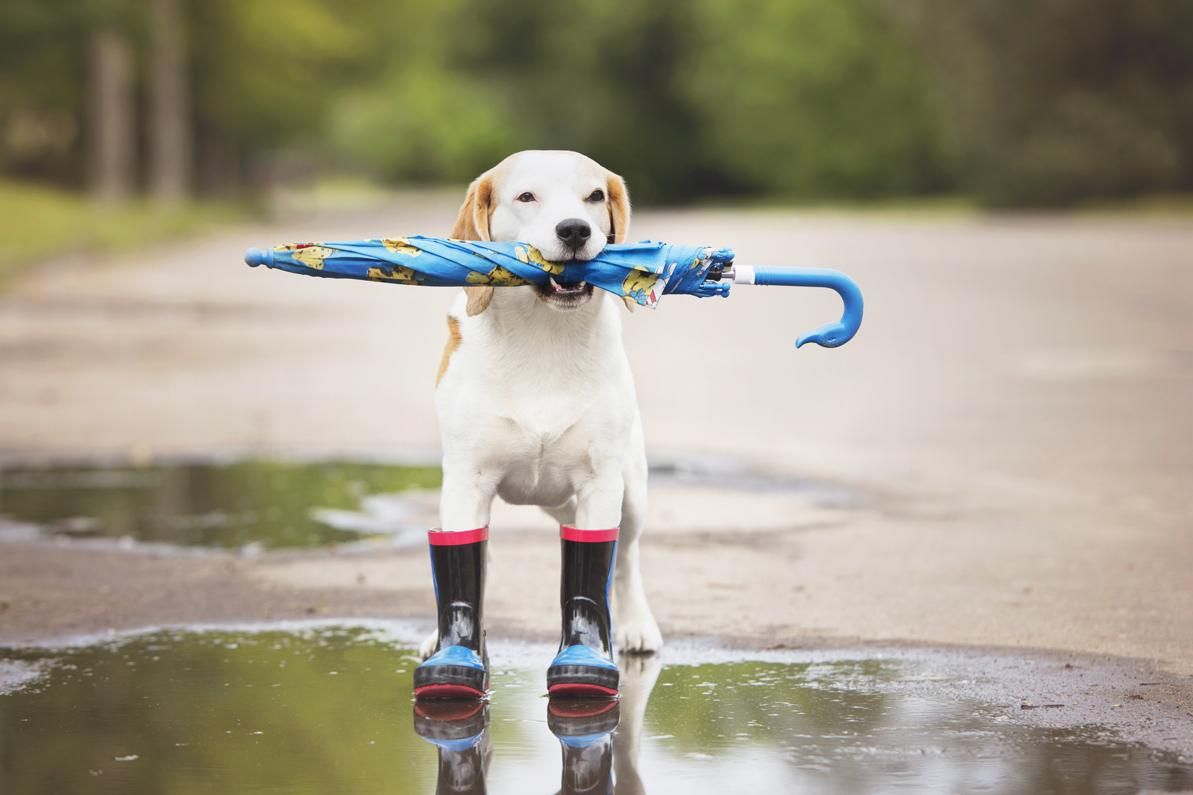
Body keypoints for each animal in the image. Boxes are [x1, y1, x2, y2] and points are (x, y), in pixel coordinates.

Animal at [424, 148, 663, 654]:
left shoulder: (600, 484)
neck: (543, 333)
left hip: (631, 490)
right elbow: (465, 567)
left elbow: (599, 564)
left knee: (626, 558)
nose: (575, 229)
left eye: (594, 196)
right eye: (526, 196)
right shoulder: (467, 483)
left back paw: (635, 625)